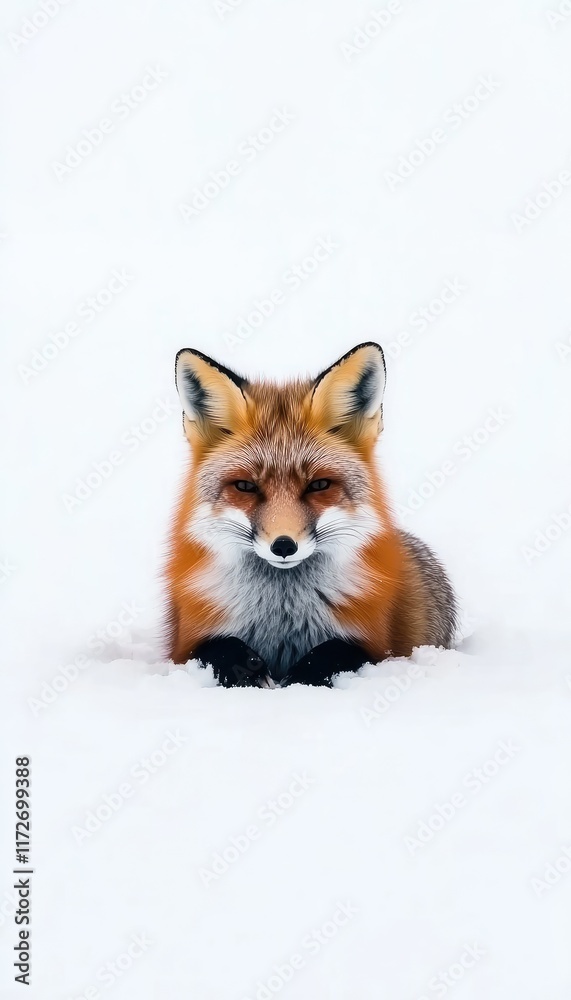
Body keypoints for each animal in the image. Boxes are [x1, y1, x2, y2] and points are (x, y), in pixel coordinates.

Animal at [165, 342, 457, 687]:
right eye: (246, 486)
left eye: (318, 485)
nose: (283, 545)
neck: (281, 612)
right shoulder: (184, 644)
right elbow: (219, 646)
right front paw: (245, 668)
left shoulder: (378, 644)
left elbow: (337, 650)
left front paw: (302, 678)